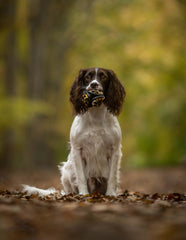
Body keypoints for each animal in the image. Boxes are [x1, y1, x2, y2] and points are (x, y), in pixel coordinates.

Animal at [22, 67, 125, 195]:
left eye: (103, 76)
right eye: (88, 76)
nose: (94, 84)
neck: (96, 115)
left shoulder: (115, 150)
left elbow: (112, 177)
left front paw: (111, 194)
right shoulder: (77, 150)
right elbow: (81, 177)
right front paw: (84, 194)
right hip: (66, 170)